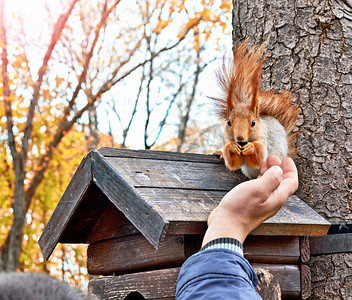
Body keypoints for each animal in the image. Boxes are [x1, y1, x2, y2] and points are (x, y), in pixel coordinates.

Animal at [212, 42, 300, 178]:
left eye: (253, 123)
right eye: (229, 122)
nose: (240, 138)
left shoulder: (263, 138)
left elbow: (260, 155)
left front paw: (251, 148)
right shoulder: (226, 138)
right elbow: (233, 163)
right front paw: (231, 147)